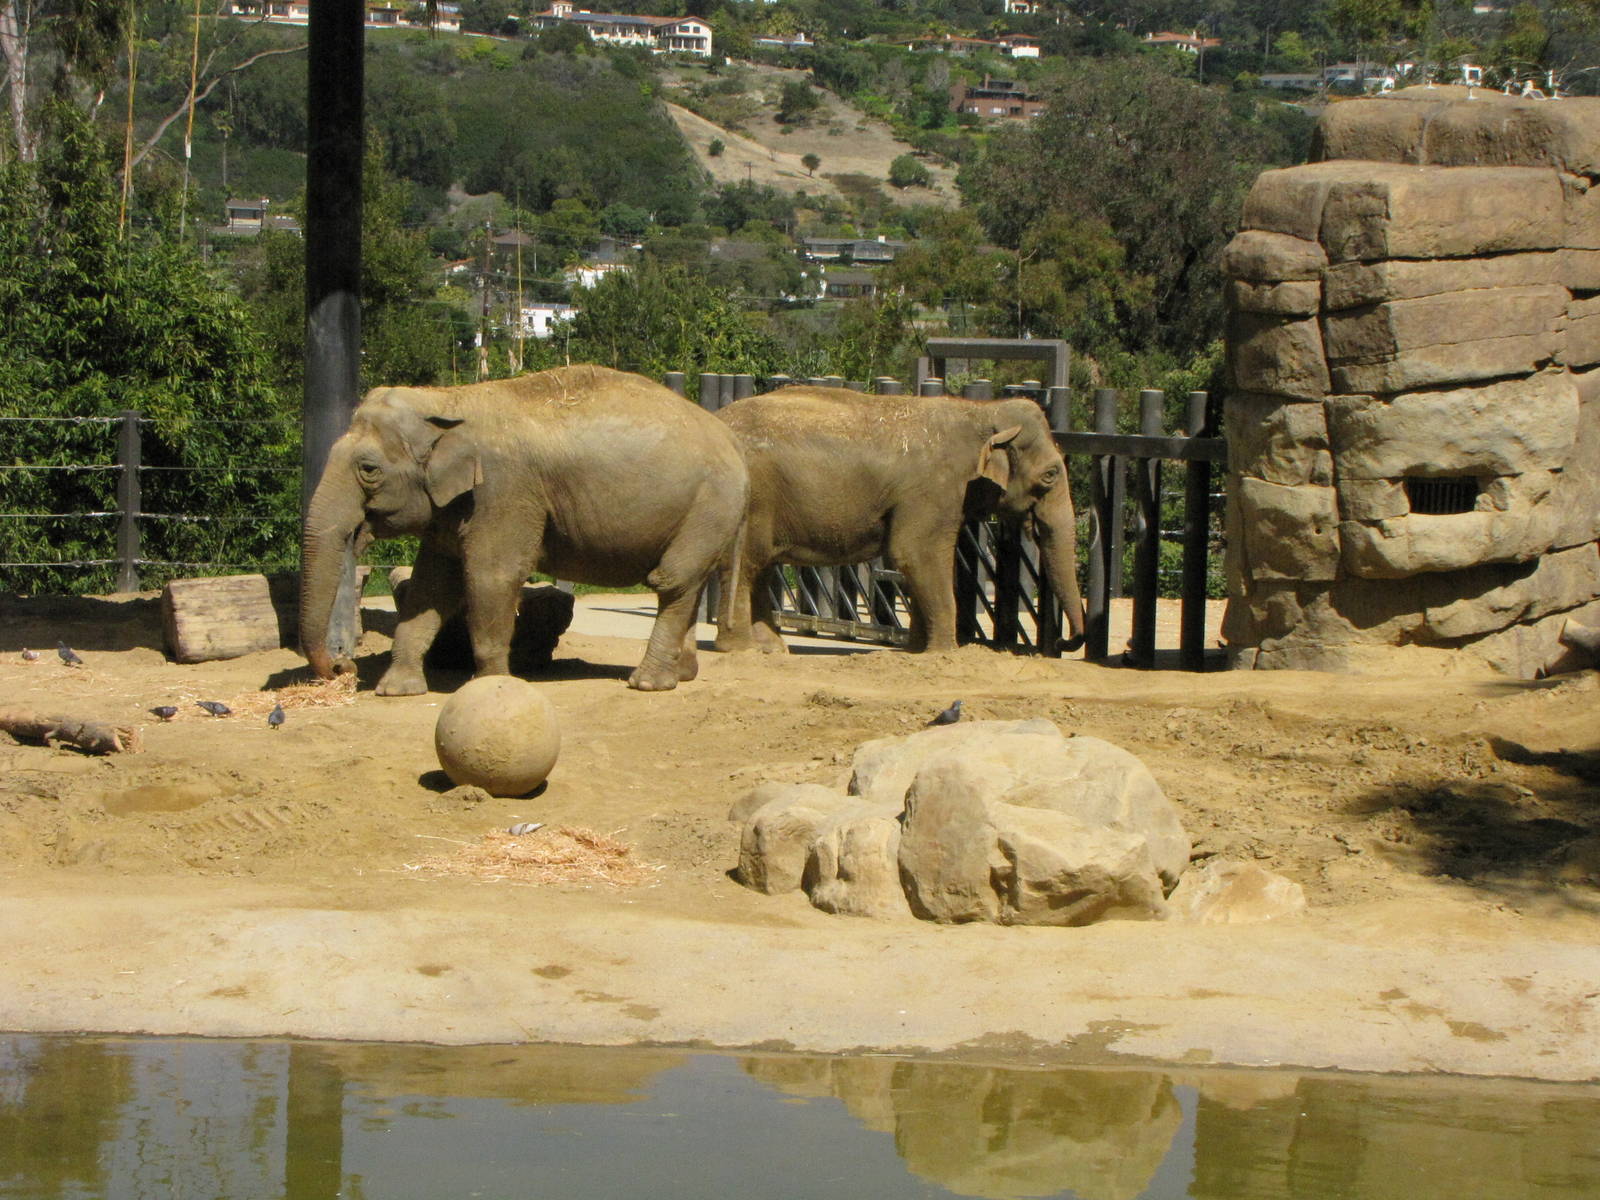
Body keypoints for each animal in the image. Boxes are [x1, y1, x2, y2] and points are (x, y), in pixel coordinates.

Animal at [300, 364, 749, 693]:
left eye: (368, 469)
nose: (341, 666)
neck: (448, 397)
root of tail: (732, 439)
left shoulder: (503, 490)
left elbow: (491, 577)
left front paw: (492, 686)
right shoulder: (453, 507)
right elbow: (431, 585)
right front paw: (397, 691)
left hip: (711, 503)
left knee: (673, 580)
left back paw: (648, 684)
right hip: (709, 512)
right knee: (690, 583)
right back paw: (682, 675)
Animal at [712, 386, 1086, 655]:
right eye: (1051, 474)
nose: (1065, 642)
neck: (981, 411)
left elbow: (921, 562)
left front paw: (917, 651)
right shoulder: (933, 490)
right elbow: (915, 553)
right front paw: (946, 654)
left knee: (759, 565)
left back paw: (771, 649)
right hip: (750, 502)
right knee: (744, 564)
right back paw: (741, 650)